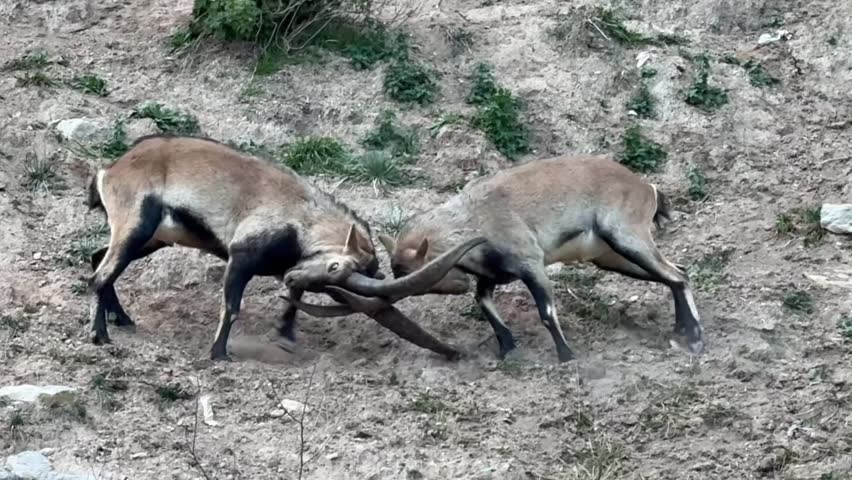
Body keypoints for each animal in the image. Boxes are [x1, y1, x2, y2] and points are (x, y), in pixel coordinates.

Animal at [85, 135, 478, 360]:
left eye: (329, 284)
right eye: (336, 268)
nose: (291, 276)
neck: (301, 215)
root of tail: (111, 170)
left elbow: (292, 302)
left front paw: (285, 336)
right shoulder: (241, 257)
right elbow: (232, 306)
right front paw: (219, 354)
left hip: (153, 238)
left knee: (97, 259)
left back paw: (122, 319)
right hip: (136, 225)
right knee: (100, 275)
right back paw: (100, 336)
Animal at [286, 153, 705, 363]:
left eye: (412, 274)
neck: (475, 218)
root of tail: (646, 187)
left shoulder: (530, 263)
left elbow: (546, 311)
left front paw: (566, 356)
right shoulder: (492, 275)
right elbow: (483, 301)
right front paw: (506, 348)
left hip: (627, 238)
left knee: (677, 274)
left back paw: (695, 336)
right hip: (612, 256)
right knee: (677, 272)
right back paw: (682, 330)